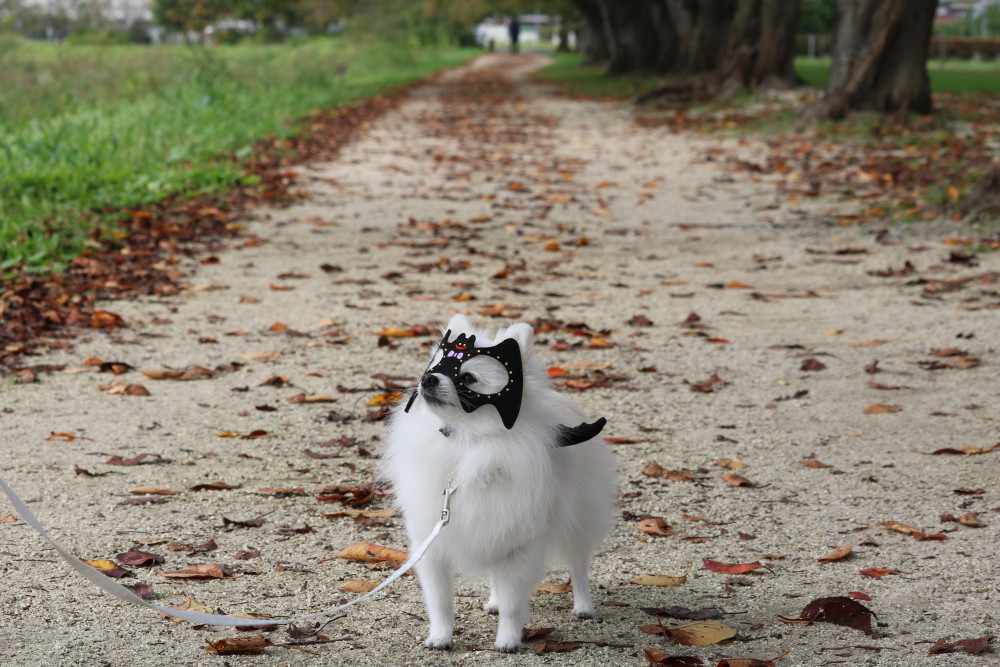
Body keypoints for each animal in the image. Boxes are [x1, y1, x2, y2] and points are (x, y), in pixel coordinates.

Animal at [380, 314, 616, 652]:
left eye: (468, 378)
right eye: (432, 368)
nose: (428, 380)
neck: (467, 441)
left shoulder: (520, 545)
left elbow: (513, 602)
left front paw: (508, 640)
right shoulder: (434, 543)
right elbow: (439, 601)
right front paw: (440, 636)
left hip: (578, 519)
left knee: (578, 564)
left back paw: (583, 605)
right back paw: (493, 601)